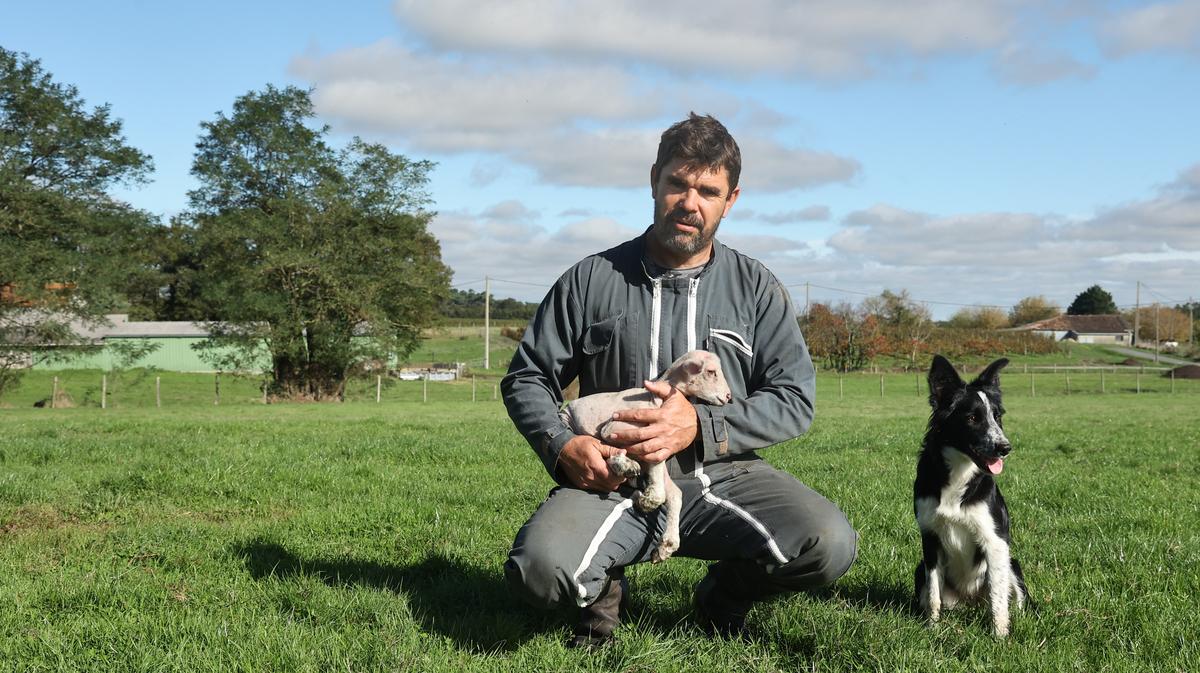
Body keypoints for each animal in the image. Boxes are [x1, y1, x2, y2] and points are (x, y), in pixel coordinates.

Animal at [559, 347, 729, 563]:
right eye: (711, 372)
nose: (728, 396)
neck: (654, 399)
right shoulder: (614, 428)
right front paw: (646, 498)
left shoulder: (657, 443)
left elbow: (667, 487)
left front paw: (649, 502)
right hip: (570, 422)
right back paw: (624, 466)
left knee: (675, 492)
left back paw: (668, 541)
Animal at [912, 355, 1027, 638]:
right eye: (973, 417)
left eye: (997, 417)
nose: (1005, 448)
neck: (959, 473)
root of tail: (969, 601)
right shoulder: (930, 538)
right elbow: (933, 595)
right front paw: (933, 629)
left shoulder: (994, 542)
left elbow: (998, 599)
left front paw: (999, 637)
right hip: (919, 568)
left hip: (1013, 564)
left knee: (1014, 599)